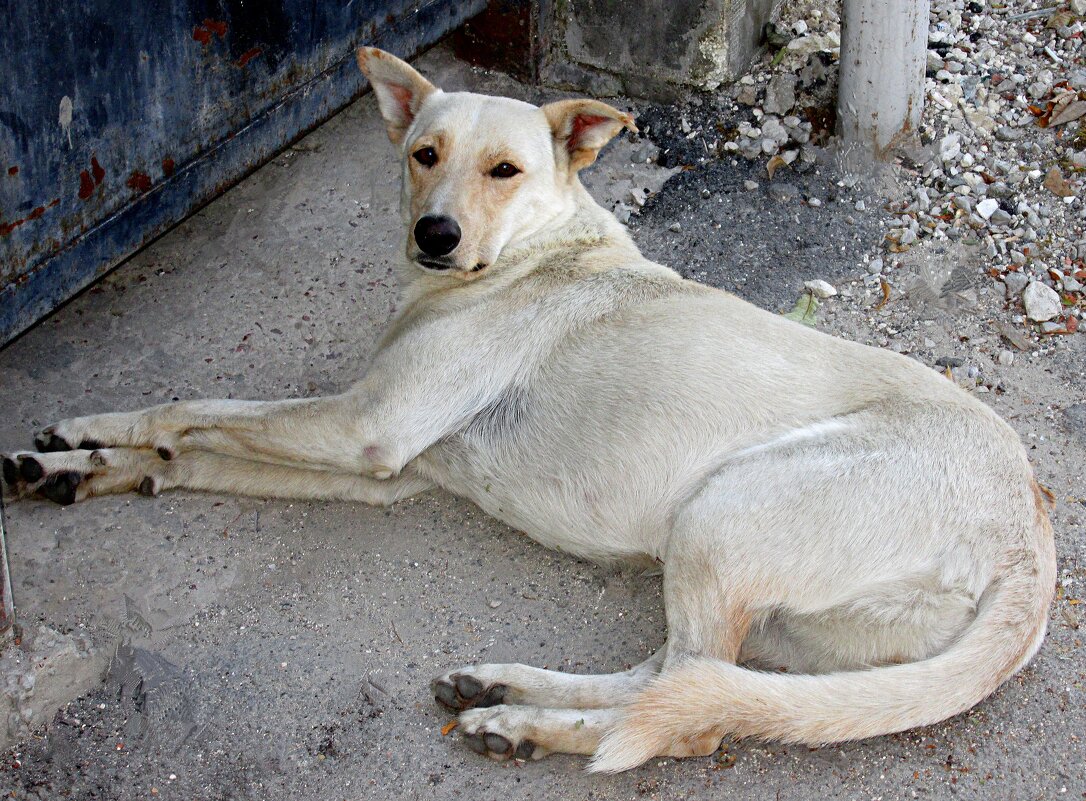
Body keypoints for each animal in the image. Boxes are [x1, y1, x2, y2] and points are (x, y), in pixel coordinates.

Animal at [0, 48, 1051, 768]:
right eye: (423, 154)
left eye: (504, 170)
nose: (434, 234)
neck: (531, 251)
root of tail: (1034, 538)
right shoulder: (388, 469)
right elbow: (199, 451)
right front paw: (73, 466)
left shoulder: (363, 428)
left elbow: (192, 406)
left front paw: (96, 440)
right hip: (776, 610)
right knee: (679, 679)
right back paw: (510, 692)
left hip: (724, 509)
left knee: (689, 713)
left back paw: (529, 723)